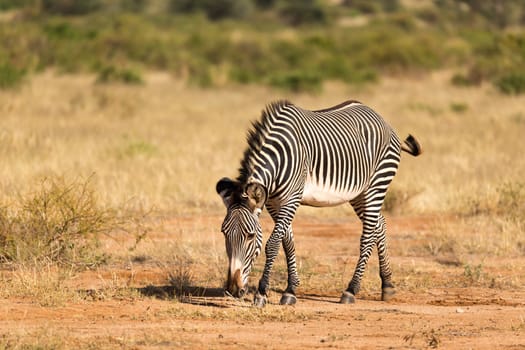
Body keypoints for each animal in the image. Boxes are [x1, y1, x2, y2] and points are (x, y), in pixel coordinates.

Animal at [215, 99, 420, 306]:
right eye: (224, 233)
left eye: (250, 236)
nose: (233, 290)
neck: (278, 160)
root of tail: (381, 118)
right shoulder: (274, 203)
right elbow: (288, 242)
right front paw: (291, 290)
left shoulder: (292, 199)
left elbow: (273, 244)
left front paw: (261, 293)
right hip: (359, 193)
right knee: (380, 225)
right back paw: (387, 285)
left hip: (377, 184)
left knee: (368, 236)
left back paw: (351, 290)